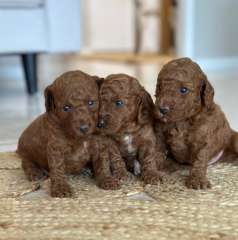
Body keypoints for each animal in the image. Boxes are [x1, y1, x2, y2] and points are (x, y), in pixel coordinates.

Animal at [154, 57, 238, 189]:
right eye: (160, 87)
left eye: (183, 90)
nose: (162, 109)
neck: (183, 121)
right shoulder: (160, 134)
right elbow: (157, 150)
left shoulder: (205, 139)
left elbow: (200, 158)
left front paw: (197, 180)